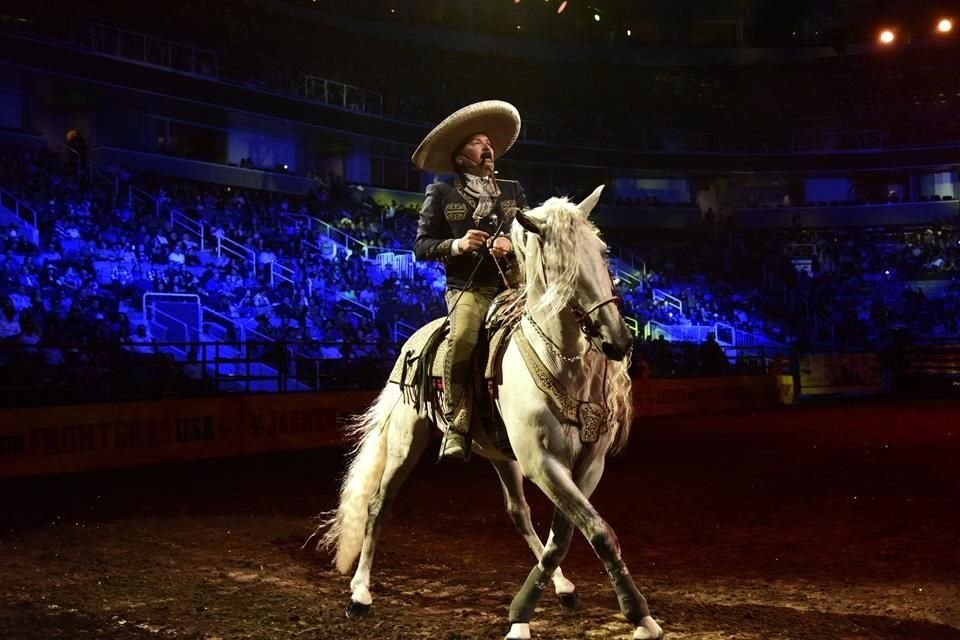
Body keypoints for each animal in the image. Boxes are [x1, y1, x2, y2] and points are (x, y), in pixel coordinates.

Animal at [312, 185, 664, 640]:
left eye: (602, 251)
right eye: (559, 263)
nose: (618, 340)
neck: (564, 366)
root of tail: (418, 338)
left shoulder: (588, 464)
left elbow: (566, 533)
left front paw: (551, 603)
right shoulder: (541, 462)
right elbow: (597, 531)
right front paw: (634, 615)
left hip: (501, 456)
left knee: (518, 513)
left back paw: (562, 586)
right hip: (407, 440)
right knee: (378, 504)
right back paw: (359, 593)